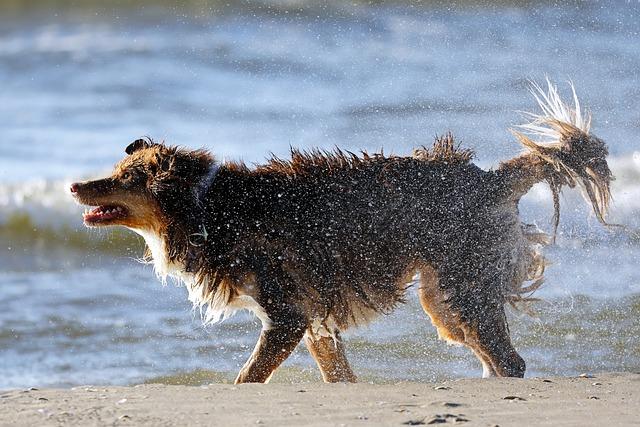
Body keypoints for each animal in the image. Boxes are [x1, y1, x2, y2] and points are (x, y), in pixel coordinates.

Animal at [71, 81, 616, 384]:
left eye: (124, 177)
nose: (75, 184)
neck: (206, 206)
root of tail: (489, 177)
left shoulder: (287, 315)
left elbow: (248, 377)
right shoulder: (314, 320)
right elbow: (337, 373)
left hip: (461, 290)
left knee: (510, 361)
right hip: (445, 299)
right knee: (498, 358)